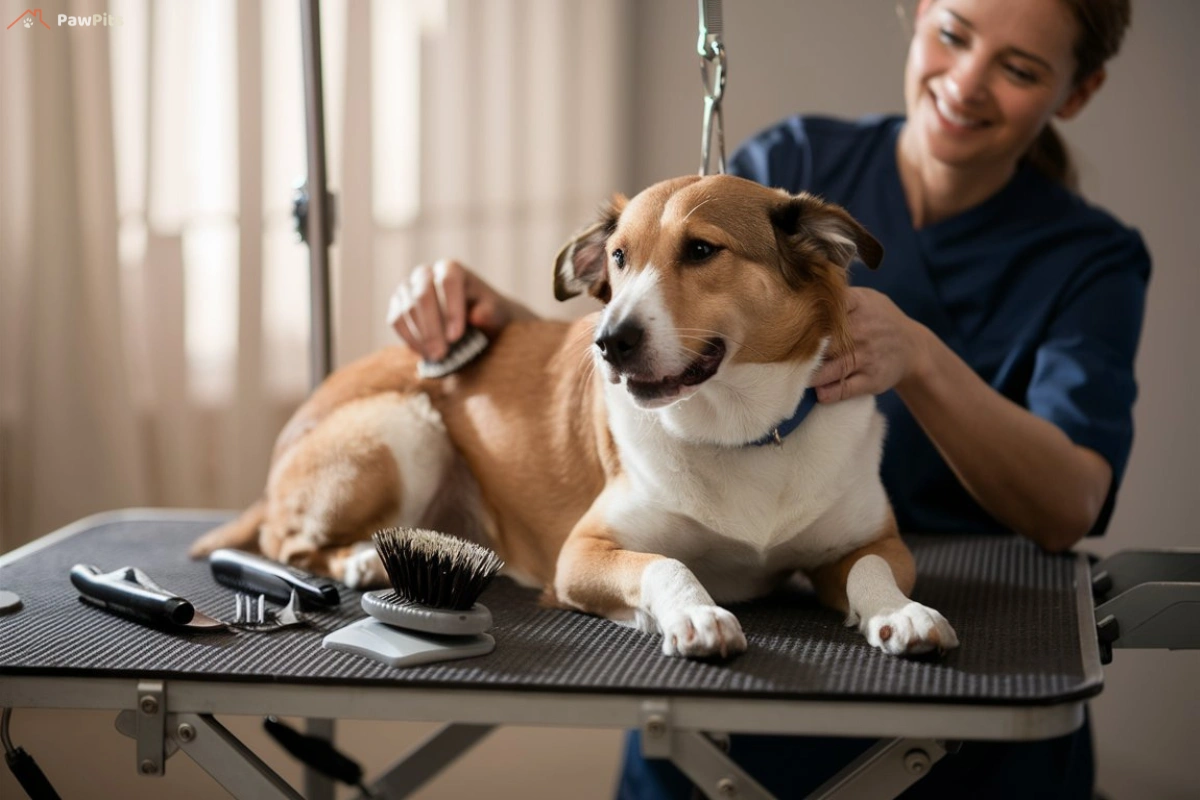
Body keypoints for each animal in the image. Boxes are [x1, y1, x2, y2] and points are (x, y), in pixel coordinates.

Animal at [192, 173, 960, 657]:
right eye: (618, 258)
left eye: (702, 250)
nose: (609, 341)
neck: (740, 433)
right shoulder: (584, 552)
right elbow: (665, 564)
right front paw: (698, 612)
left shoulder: (872, 540)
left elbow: (873, 569)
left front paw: (901, 613)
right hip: (407, 428)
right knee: (286, 541)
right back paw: (356, 562)